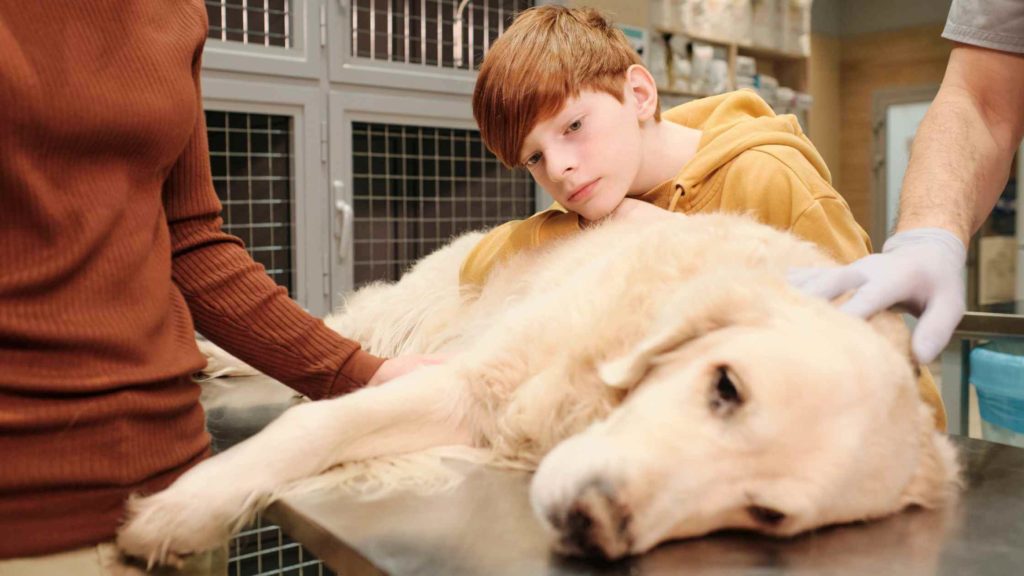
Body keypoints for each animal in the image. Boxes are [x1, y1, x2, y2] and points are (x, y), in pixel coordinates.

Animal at [117, 210, 958, 561]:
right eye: (726, 386)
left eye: (767, 515)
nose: (594, 521)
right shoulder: (468, 381)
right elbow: (315, 426)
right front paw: (185, 510)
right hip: (400, 322)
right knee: (321, 340)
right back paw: (209, 354)